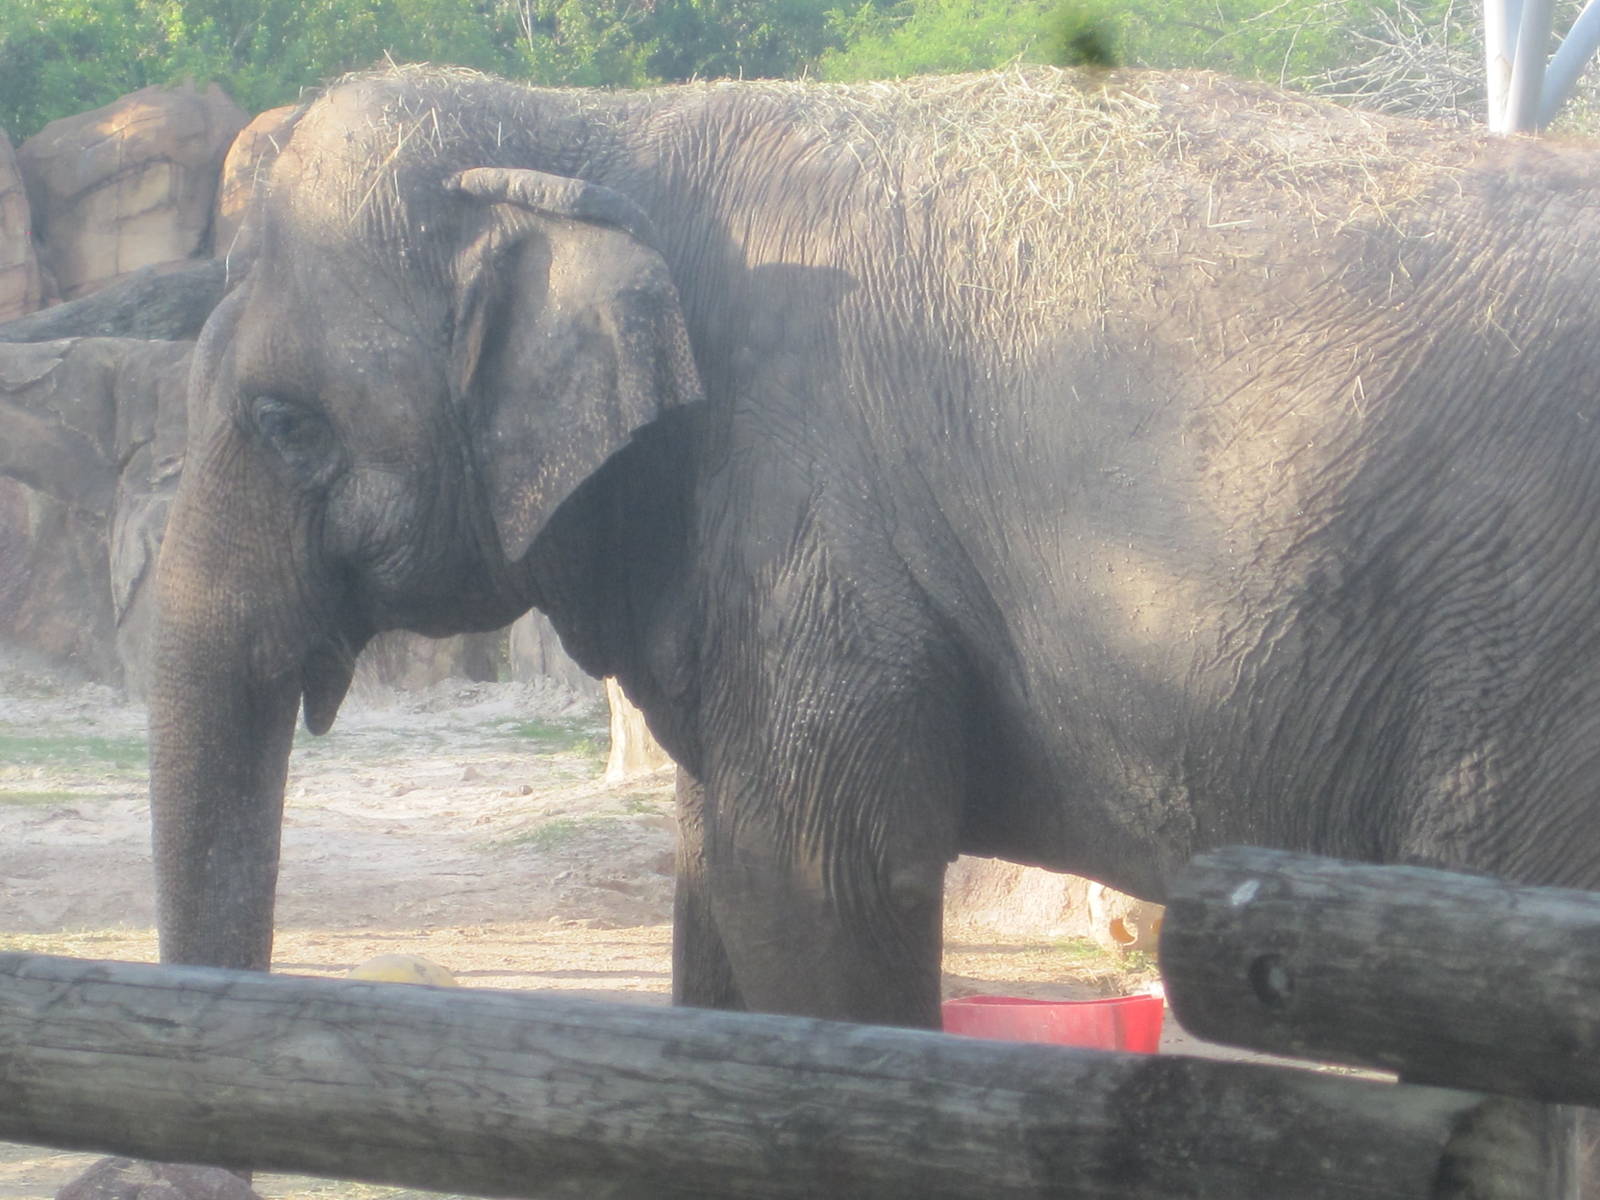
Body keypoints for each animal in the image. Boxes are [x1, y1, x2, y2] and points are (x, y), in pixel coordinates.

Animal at [149, 63, 1600, 1031]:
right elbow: (719, 874)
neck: (594, 125)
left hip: (1526, 658)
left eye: (285, 424)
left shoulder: (811, 506)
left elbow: (817, 883)